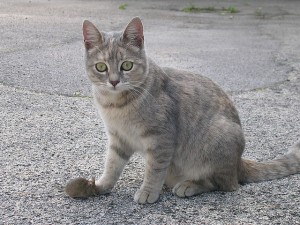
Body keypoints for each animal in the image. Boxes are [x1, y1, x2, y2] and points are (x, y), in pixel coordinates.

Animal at [65, 17, 300, 204]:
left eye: (127, 66)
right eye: (101, 67)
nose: (114, 81)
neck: (115, 105)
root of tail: (238, 162)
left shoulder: (161, 139)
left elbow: (154, 169)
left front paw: (148, 191)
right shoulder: (118, 139)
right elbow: (112, 165)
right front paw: (101, 185)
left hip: (219, 140)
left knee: (224, 184)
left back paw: (189, 185)